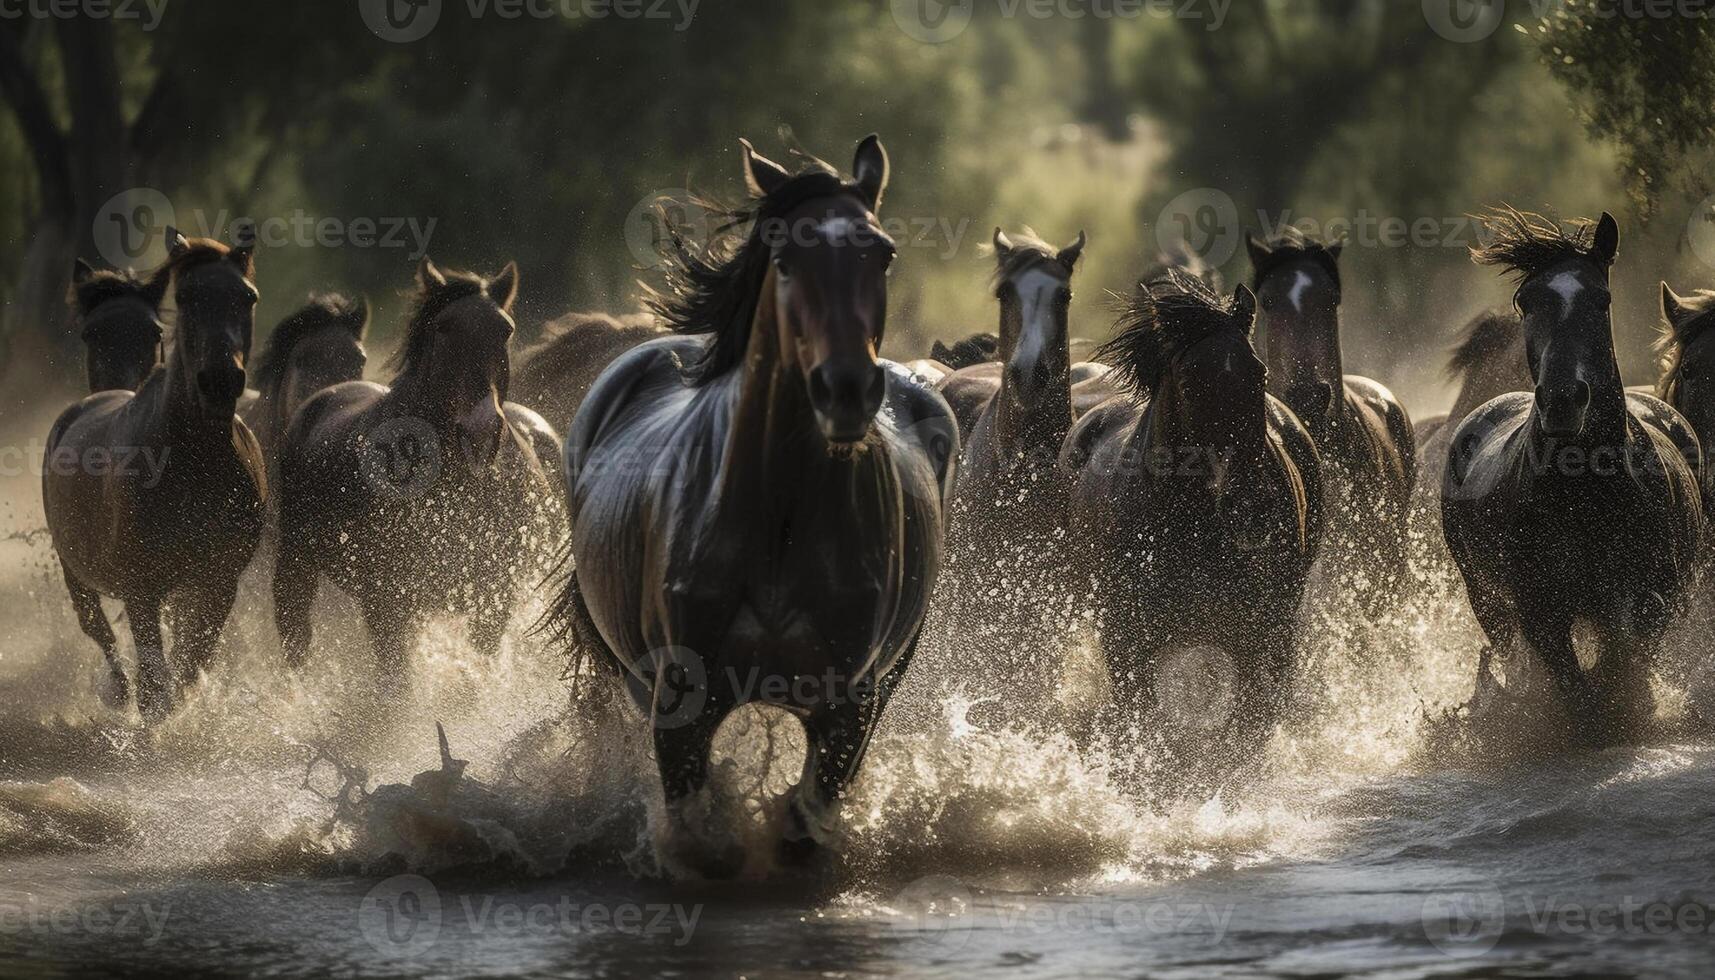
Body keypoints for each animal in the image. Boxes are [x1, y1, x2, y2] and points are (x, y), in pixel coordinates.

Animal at [273, 258, 562, 674]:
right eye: (443, 328)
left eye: (505, 329)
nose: (481, 429)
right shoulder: (388, 603)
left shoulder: (492, 602)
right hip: (294, 569)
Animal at [548, 135, 956, 874]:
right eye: (786, 259)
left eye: (882, 251)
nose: (846, 390)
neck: (777, 519)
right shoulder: (681, 702)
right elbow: (698, 830)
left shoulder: (847, 708)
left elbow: (802, 824)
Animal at [1062, 270, 1322, 771]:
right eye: (1187, 379)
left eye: (1258, 372)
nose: (1251, 506)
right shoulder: (1127, 643)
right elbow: (1146, 727)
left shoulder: (1263, 635)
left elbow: (1247, 731)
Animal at [1443, 208, 1704, 744]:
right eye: (1526, 301)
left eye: (1601, 299)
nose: (1563, 399)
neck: (1585, 486)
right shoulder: (1540, 612)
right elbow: (1575, 684)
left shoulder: (1651, 598)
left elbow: (1623, 659)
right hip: (1486, 601)